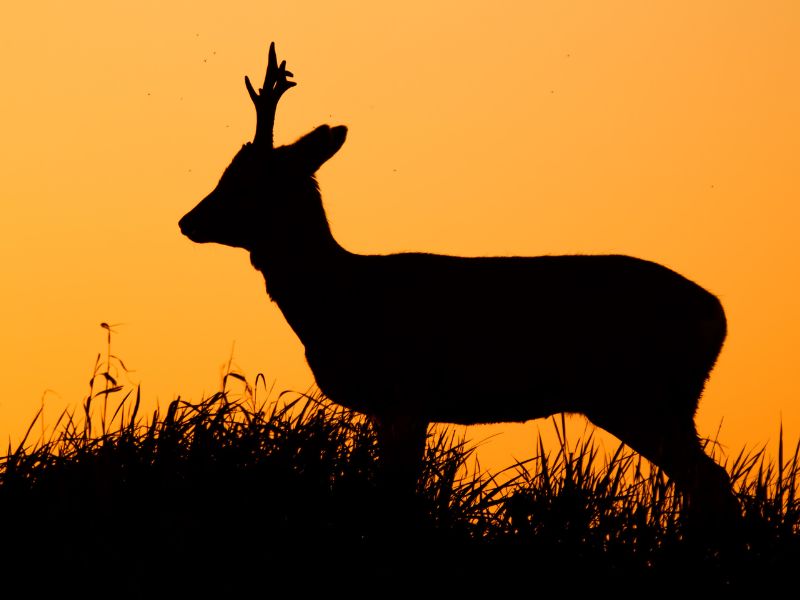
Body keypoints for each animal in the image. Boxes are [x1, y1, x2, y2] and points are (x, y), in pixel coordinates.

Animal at [180, 43, 736, 524]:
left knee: (711, 480)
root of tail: (718, 315)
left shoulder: (406, 391)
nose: (188, 220)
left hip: (640, 392)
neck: (341, 298)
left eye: (242, 180)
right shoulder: (391, 405)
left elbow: (397, 492)